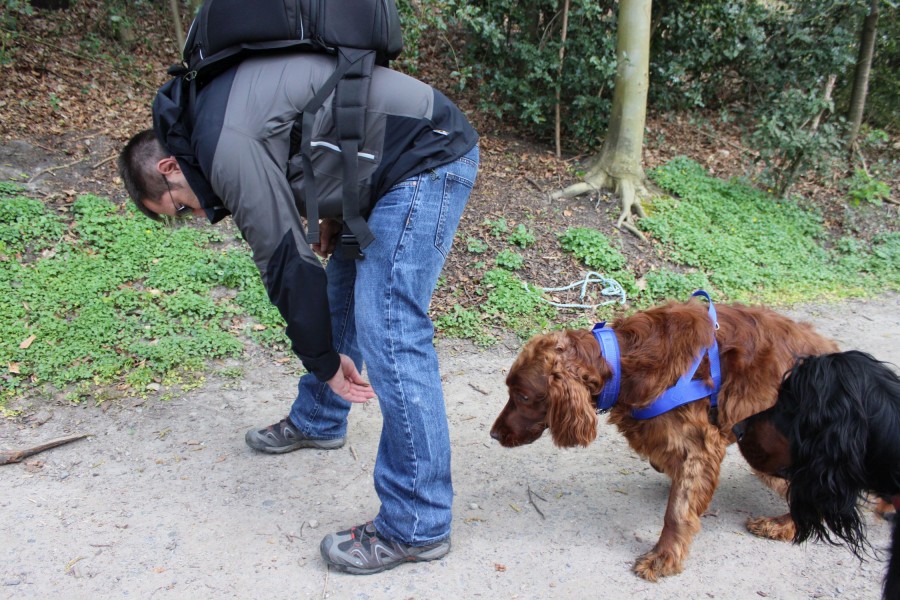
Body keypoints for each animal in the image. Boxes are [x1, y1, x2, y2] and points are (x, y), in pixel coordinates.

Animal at [490, 295, 838, 581]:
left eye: (523, 396)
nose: (493, 434)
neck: (624, 361)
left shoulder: (700, 446)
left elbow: (677, 512)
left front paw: (663, 558)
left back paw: (781, 525)